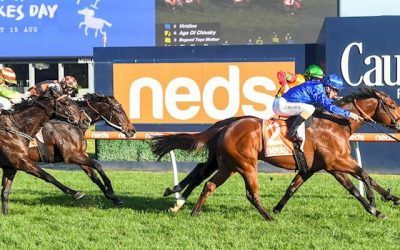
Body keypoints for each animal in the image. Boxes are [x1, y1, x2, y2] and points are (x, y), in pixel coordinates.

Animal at [152, 89, 400, 220]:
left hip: (226, 164)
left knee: (205, 180)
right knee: (241, 190)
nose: (398, 124)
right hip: (244, 165)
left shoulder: (317, 167)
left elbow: (294, 187)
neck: (334, 124)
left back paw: (186, 206)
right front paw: (374, 206)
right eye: (391, 105)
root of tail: (225, 125)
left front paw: (389, 200)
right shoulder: (335, 162)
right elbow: (362, 178)